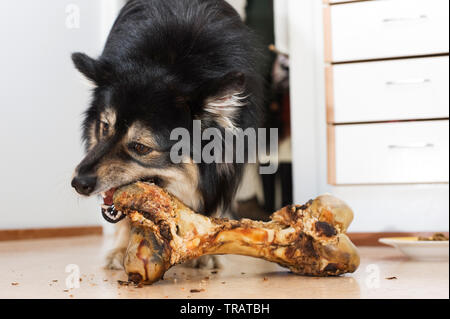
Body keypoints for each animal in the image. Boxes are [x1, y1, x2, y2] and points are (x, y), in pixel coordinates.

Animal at [70, 0, 264, 270]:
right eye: (105, 127)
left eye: (141, 147)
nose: (78, 183)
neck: (174, 65)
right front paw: (121, 249)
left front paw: (207, 249)